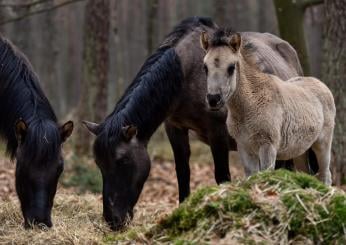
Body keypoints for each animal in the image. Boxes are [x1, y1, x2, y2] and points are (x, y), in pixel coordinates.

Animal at [84, 17, 314, 230]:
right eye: (99, 164)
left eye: (122, 161)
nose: (113, 220)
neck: (187, 74)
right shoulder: (175, 128)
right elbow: (182, 173)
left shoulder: (218, 132)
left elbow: (222, 176)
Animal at [200, 29, 336, 184]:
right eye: (205, 67)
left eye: (231, 67)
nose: (213, 99)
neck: (249, 104)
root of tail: (321, 84)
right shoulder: (244, 147)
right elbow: (252, 176)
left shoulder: (268, 147)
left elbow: (265, 174)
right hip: (300, 151)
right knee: (306, 172)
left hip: (322, 144)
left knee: (325, 175)